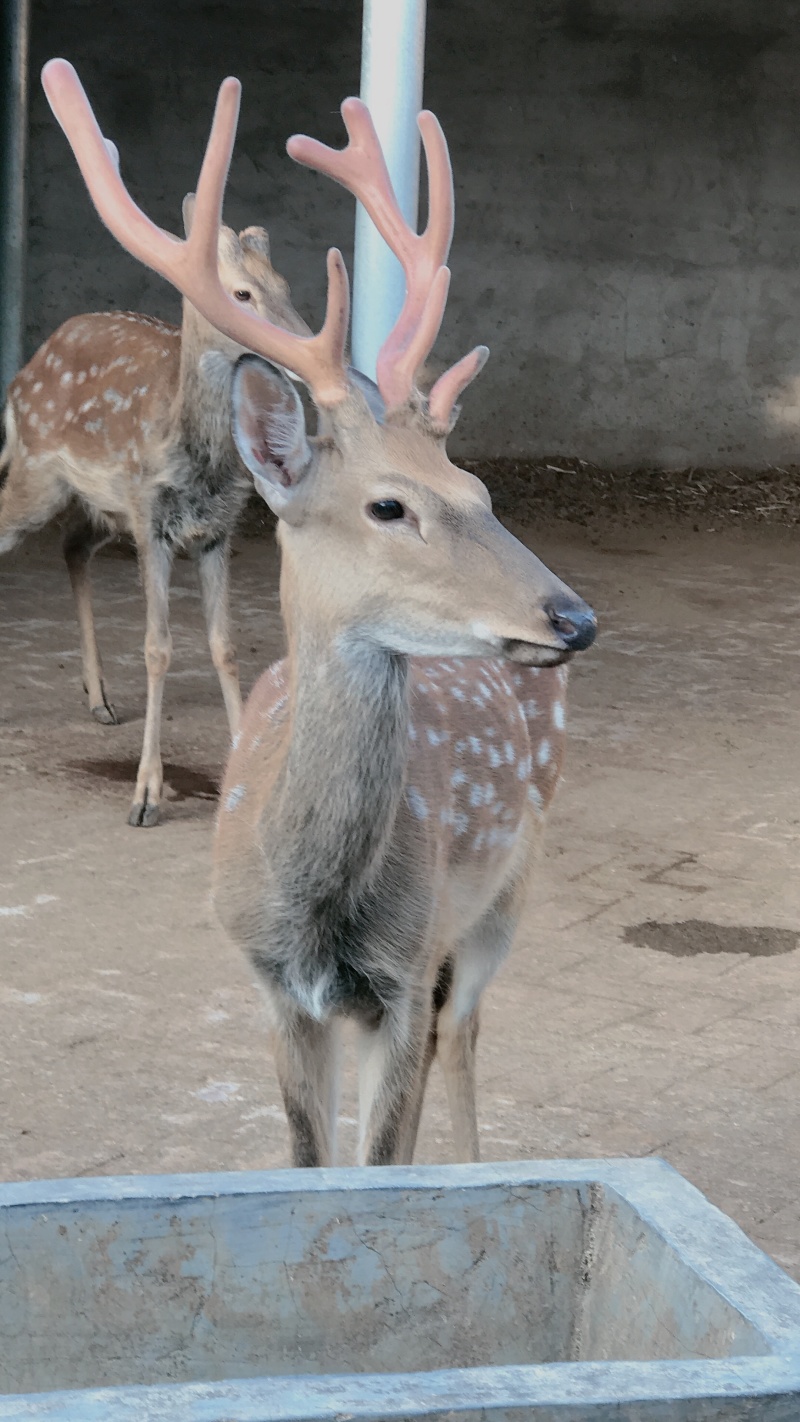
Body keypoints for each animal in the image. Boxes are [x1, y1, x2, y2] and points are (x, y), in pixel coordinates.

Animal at [0, 164, 310, 827]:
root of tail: (23, 373)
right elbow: (158, 648)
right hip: (38, 475)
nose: (306, 355)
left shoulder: (217, 528)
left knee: (72, 547)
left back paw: (99, 698)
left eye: (284, 285)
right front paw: (145, 794)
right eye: (242, 294)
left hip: (102, 507)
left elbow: (223, 646)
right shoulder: (153, 521)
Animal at [44, 58, 597, 1166]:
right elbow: (313, 1164)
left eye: (478, 490)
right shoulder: (277, 989)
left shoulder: (400, 975)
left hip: (508, 884)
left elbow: (380, 1164)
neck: (317, 902)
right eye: (389, 504)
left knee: (468, 1025)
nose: (571, 618)